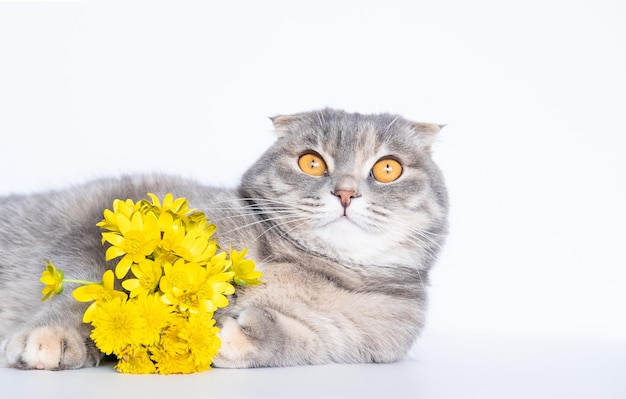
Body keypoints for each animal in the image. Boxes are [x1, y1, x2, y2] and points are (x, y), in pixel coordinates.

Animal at [0, 108, 448, 370]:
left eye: (388, 168)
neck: (311, 267)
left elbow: (295, 340)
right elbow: (88, 297)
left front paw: (236, 335)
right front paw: (52, 337)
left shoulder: (358, 338)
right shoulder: (97, 234)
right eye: (311, 162)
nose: (346, 192)